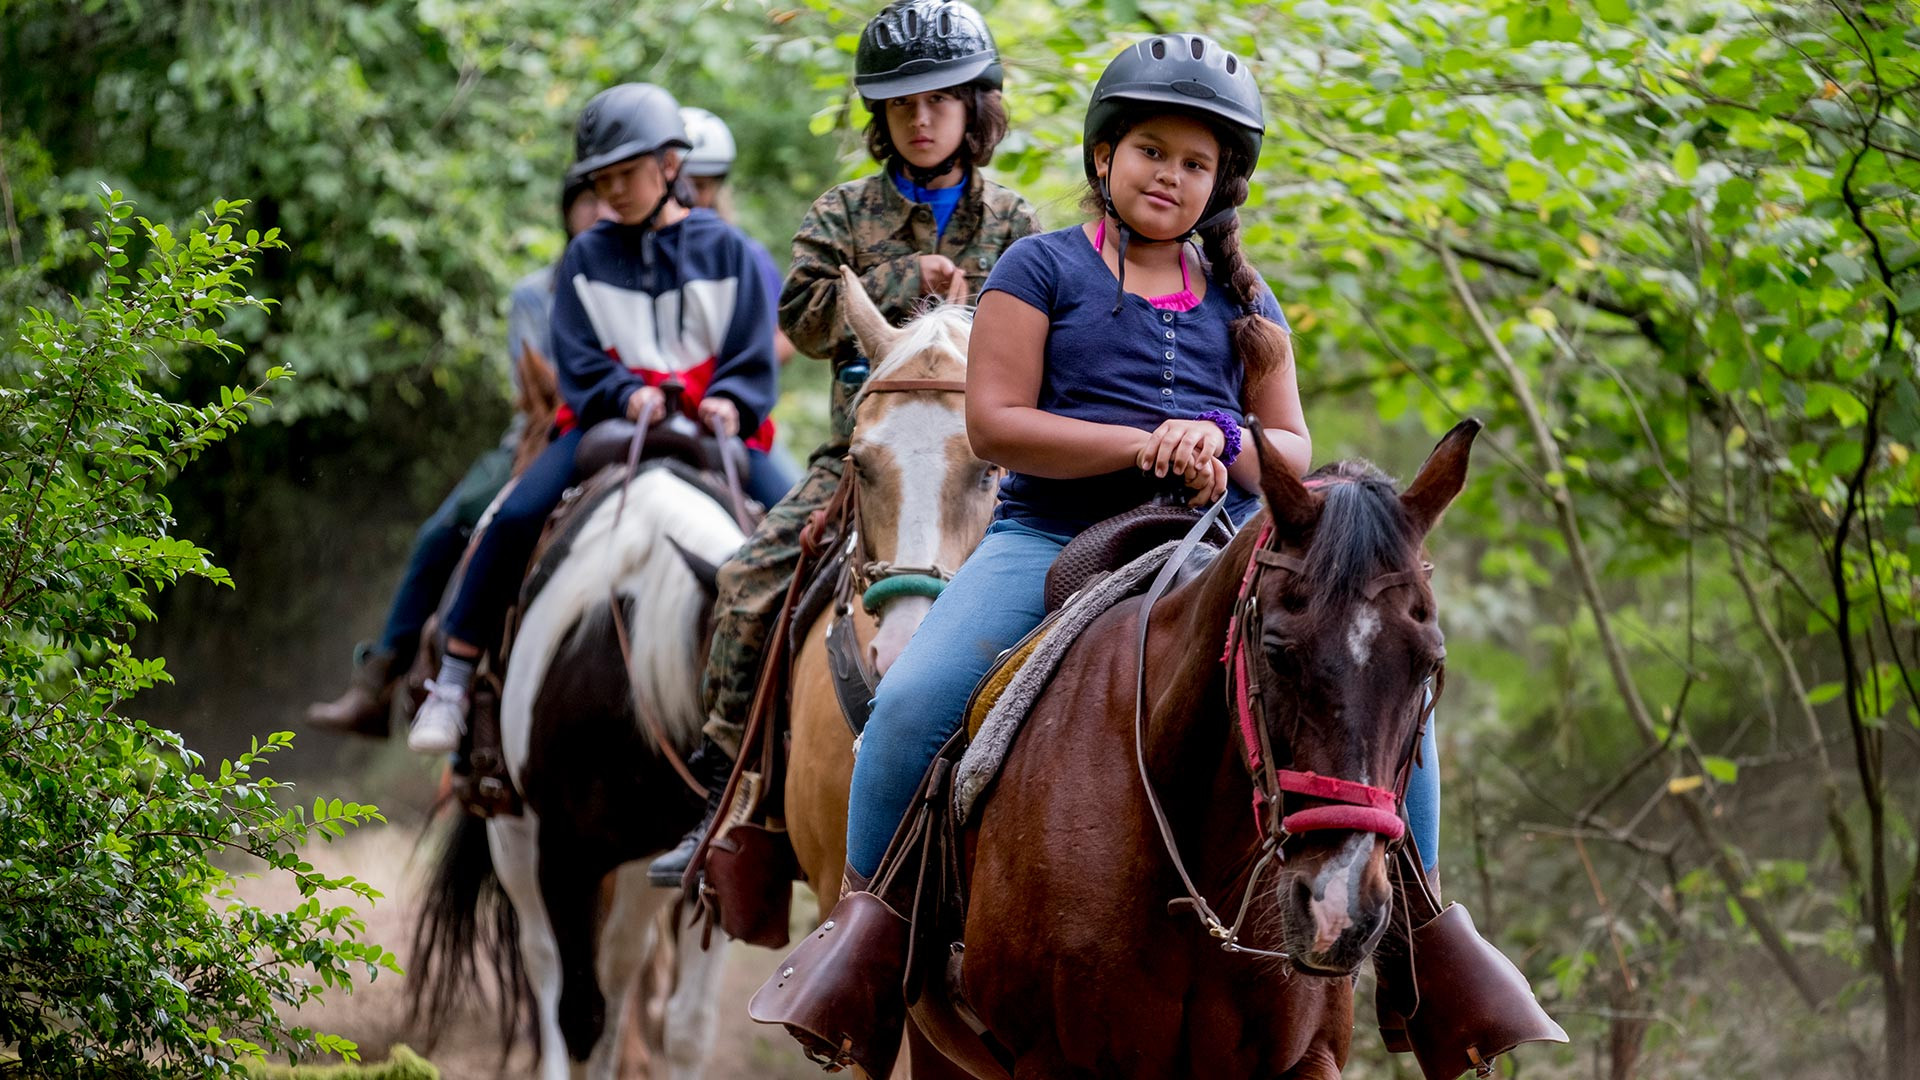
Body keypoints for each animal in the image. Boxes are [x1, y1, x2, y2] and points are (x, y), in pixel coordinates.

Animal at [408, 345, 744, 1076]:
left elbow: (687, 1023)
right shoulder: (561, 853)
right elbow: (576, 1010)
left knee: (621, 966)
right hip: (515, 833)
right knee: (549, 969)